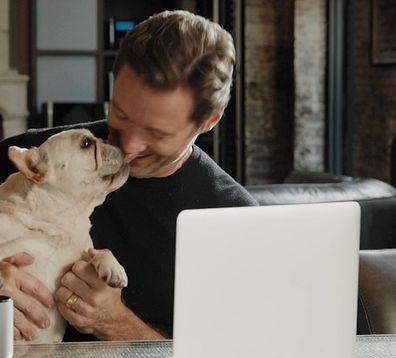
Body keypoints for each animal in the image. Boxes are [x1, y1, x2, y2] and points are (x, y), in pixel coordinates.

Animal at [0, 129, 129, 344]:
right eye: (86, 143)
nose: (109, 141)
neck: (62, 223)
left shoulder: (83, 252)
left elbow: (102, 252)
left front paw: (114, 269)